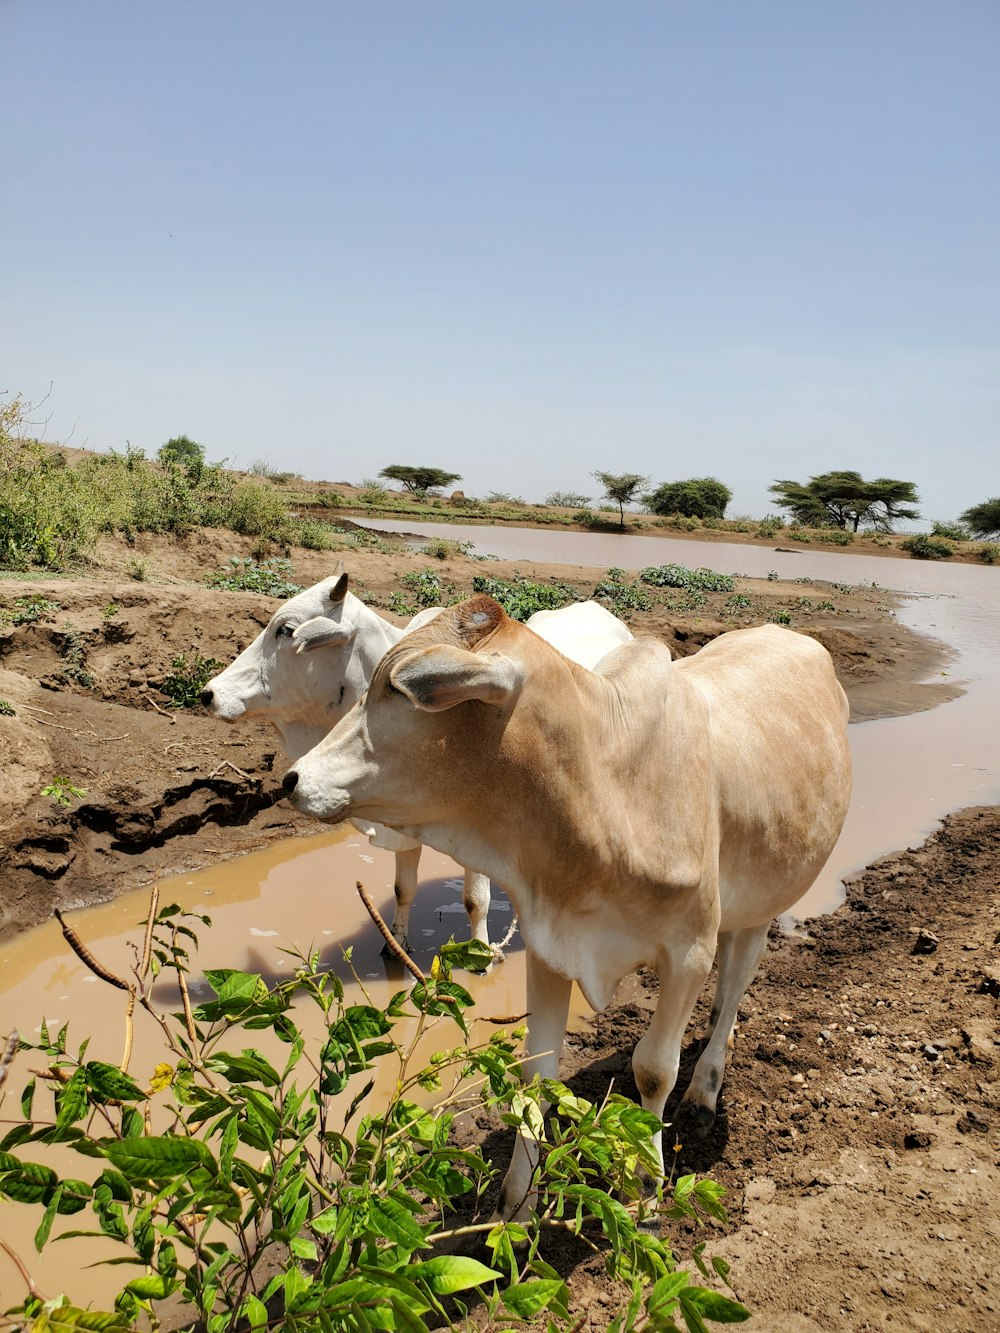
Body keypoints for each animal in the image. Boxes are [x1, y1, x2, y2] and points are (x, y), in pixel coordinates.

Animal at [200, 570, 629, 949]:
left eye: (286, 630)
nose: (209, 694)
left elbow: (475, 901)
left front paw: (481, 956)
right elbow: (402, 890)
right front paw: (395, 948)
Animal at [282, 594, 853, 1221]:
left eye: (394, 689)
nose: (292, 779)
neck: (604, 788)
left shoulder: (688, 954)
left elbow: (654, 1070)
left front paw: (646, 1188)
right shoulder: (549, 946)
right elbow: (537, 1072)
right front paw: (515, 1207)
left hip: (763, 903)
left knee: (733, 990)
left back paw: (704, 1093)